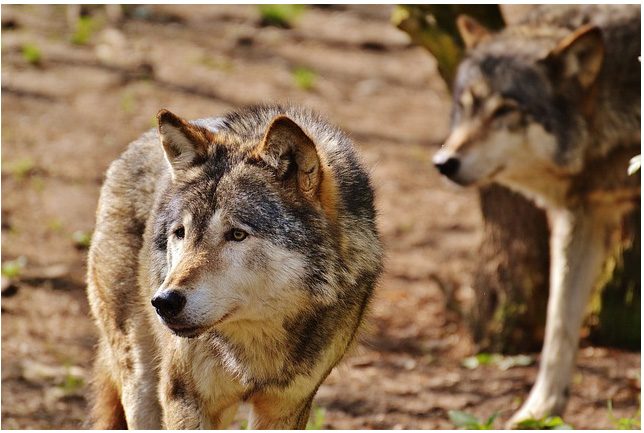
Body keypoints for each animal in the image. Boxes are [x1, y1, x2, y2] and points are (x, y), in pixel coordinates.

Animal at [85, 104, 382, 428]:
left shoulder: (287, 407)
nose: (164, 302)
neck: (254, 345)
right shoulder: (185, 399)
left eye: (237, 234)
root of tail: (135, 145)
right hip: (141, 382)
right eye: (181, 233)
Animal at [432, 3, 640, 426]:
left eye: (505, 110)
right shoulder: (579, 218)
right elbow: (558, 324)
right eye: (465, 105)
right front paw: (540, 411)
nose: (444, 162)